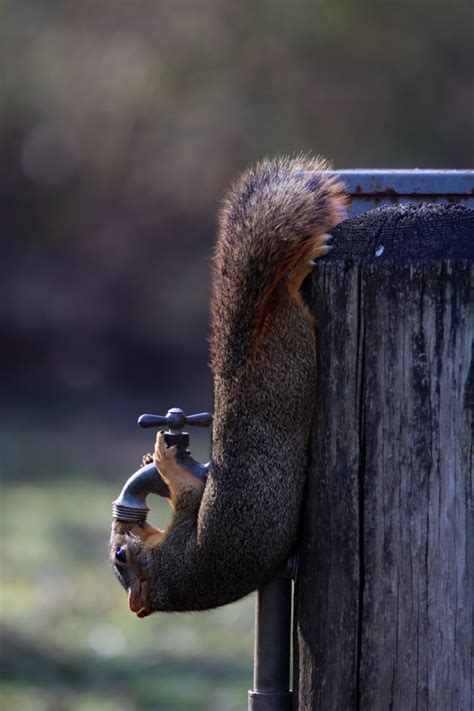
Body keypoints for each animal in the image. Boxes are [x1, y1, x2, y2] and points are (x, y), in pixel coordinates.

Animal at [109, 156, 346, 616]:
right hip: (291, 361)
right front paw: (164, 458)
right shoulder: (185, 531)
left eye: (120, 554)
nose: (119, 520)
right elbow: (187, 494)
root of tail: (233, 372)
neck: (173, 578)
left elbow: (187, 490)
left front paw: (156, 456)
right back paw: (296, 269)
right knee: (285, 301)